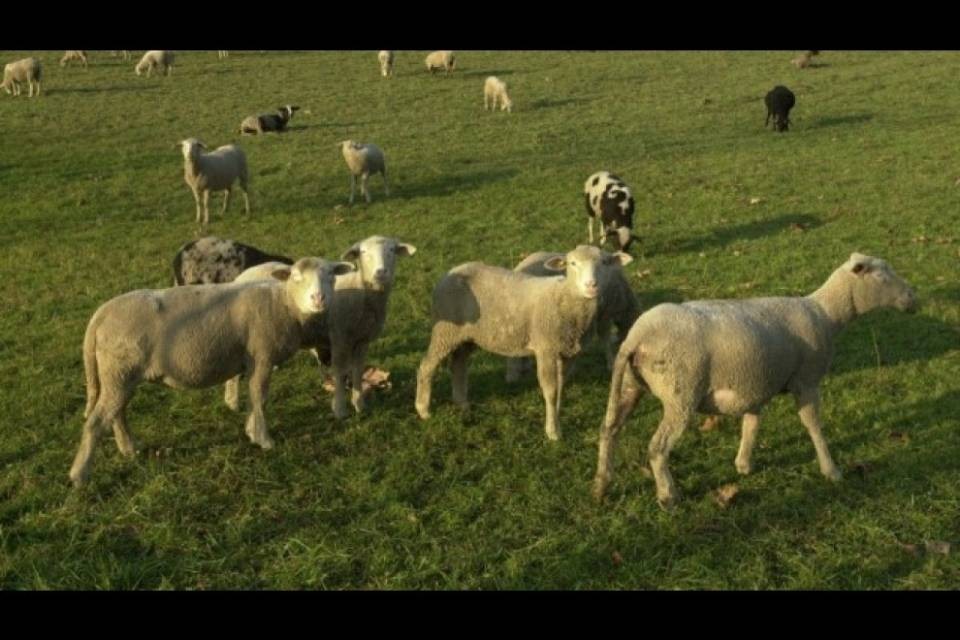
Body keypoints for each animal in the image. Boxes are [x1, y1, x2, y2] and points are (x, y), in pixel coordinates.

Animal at [68, 257, 357, 487]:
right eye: (297, 278)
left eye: (331, 276)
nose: (318, 299)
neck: (284, 304)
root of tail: (100, 315)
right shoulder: (262, 355)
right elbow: (260, 396)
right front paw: (263, 439)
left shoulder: (253, 360)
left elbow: (253, 396)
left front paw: (251, 430)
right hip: (120, 371)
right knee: (97, 421)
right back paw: (80, 476)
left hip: (120, 375)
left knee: (117, 414)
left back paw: (129, 448)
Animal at [223, 236, 417, 418]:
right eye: (363, 252)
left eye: (391, 250)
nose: (381, 272)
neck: (363, 296)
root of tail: (241, 276)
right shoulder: (339, 337)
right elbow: (339, 371)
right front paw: (340, 409)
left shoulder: (362, 340)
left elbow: (357, 371)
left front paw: (359, 405)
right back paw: (232, 403)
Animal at [592, 252, 918, 509]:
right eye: (882, 275)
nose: (912, 298)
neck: (826, 314)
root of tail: (636, 336)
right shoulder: (806, 381)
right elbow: (813, 425)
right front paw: (831, 470)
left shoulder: (755, 384)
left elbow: (751, 424)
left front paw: (743, 465)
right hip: (680, 394)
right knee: (657, 447)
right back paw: (668, 496)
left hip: (630, 385)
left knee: (609, 430)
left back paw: (601, 485)